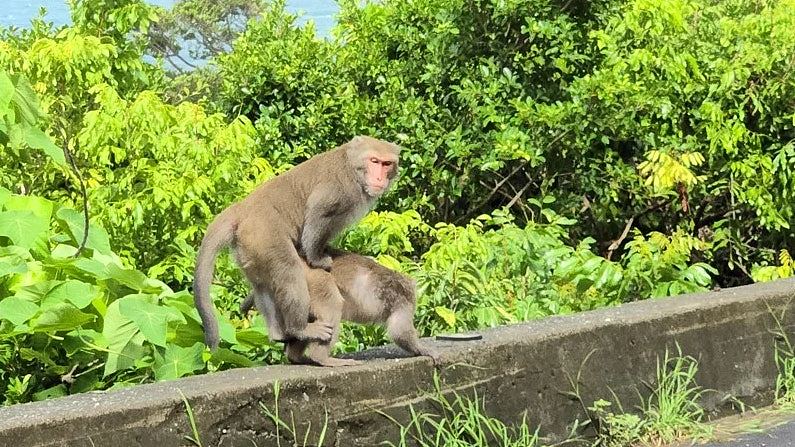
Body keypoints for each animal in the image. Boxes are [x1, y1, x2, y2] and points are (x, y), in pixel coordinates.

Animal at [194, 136, 404, 350]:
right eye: (374, 161)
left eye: (387, 164)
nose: (379, 178)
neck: (352, 166)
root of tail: (241, 209)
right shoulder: (341, 189)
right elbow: (317, 214)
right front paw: (317, 258)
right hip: (264, 236)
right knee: (289, 271)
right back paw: (299, 328)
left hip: (248, 247)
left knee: (262, 284)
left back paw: (278, 332)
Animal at [243, 248, 442, 368]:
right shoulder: (403, 300)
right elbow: (399, 331)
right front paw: (424, 350)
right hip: (313, 279)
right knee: (331, 304)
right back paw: (321, 357)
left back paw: (296, 355)